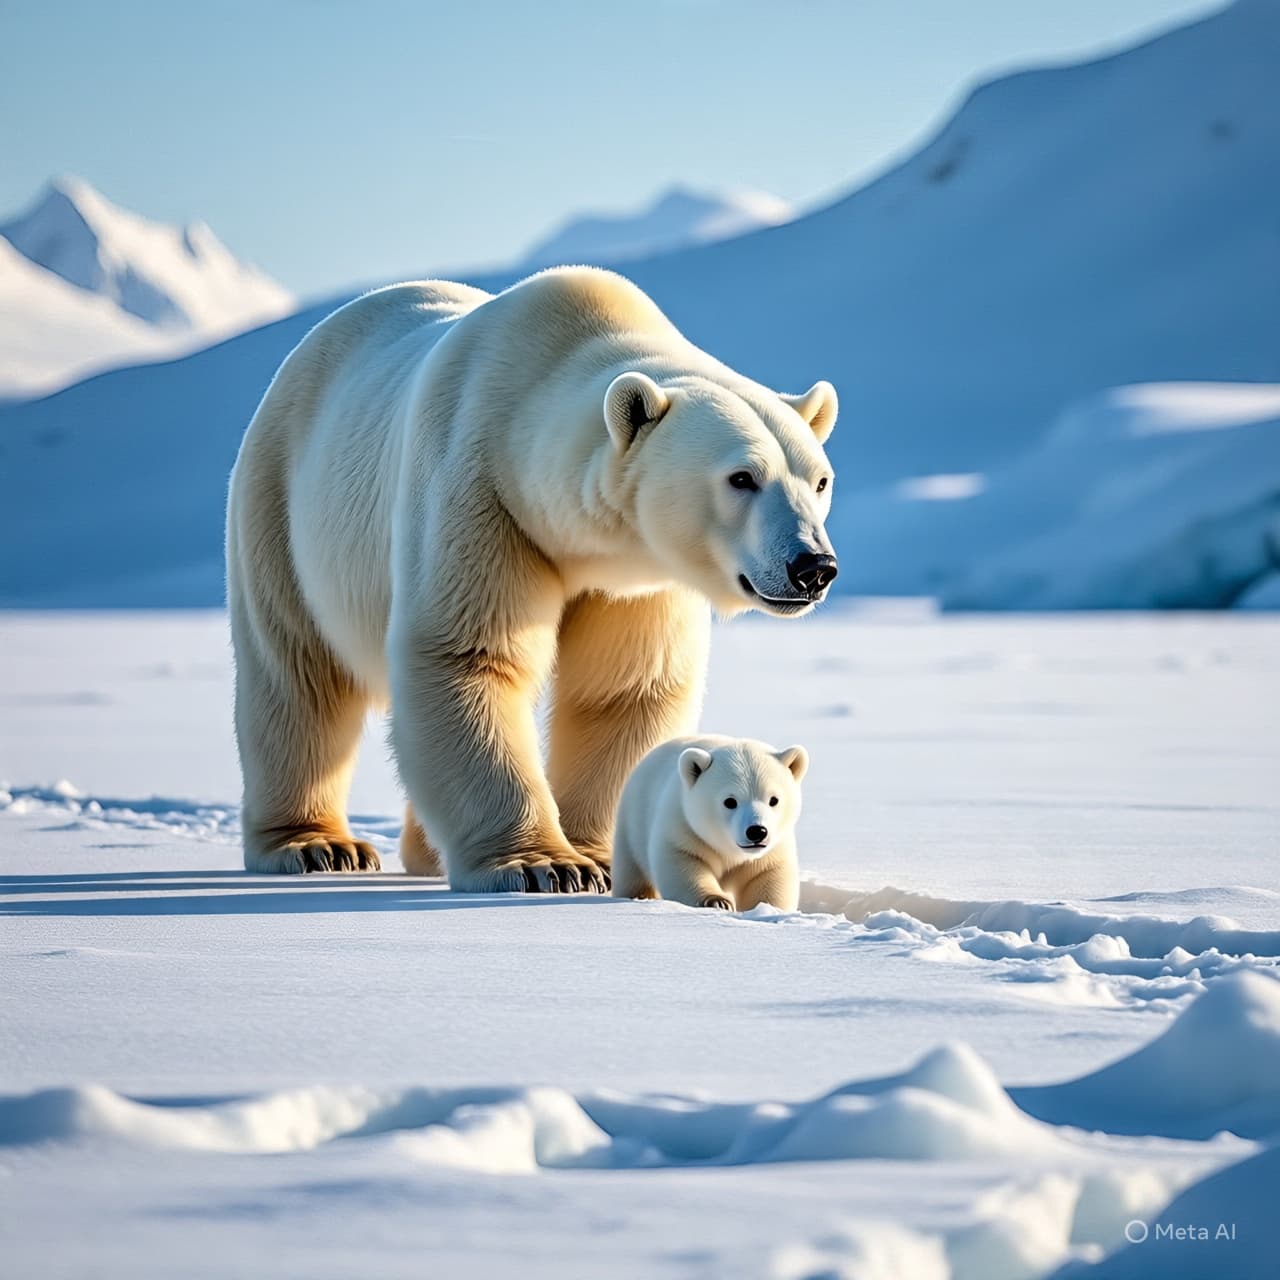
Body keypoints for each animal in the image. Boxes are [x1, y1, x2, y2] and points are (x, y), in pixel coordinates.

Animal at [225, 267, 838, 892]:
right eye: (741, 477)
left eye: (819, 480)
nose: (813, 568)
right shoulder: (480, 492)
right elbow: (469, 657)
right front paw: (542, 864)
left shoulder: (638, 575)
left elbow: (622, 689)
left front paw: (598, 858)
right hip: (281, 505)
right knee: (298, 672)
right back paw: (316, 844)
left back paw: (424, 852)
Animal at [611, 735, 807, 911]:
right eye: (730, 801)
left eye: (774, 799)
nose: (757, 831)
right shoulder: (682, 826)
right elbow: (683, 864)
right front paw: (718, 901)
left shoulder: (771, 852)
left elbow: (769, 878)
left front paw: (767, 908)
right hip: (630, 824)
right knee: (631, 872)